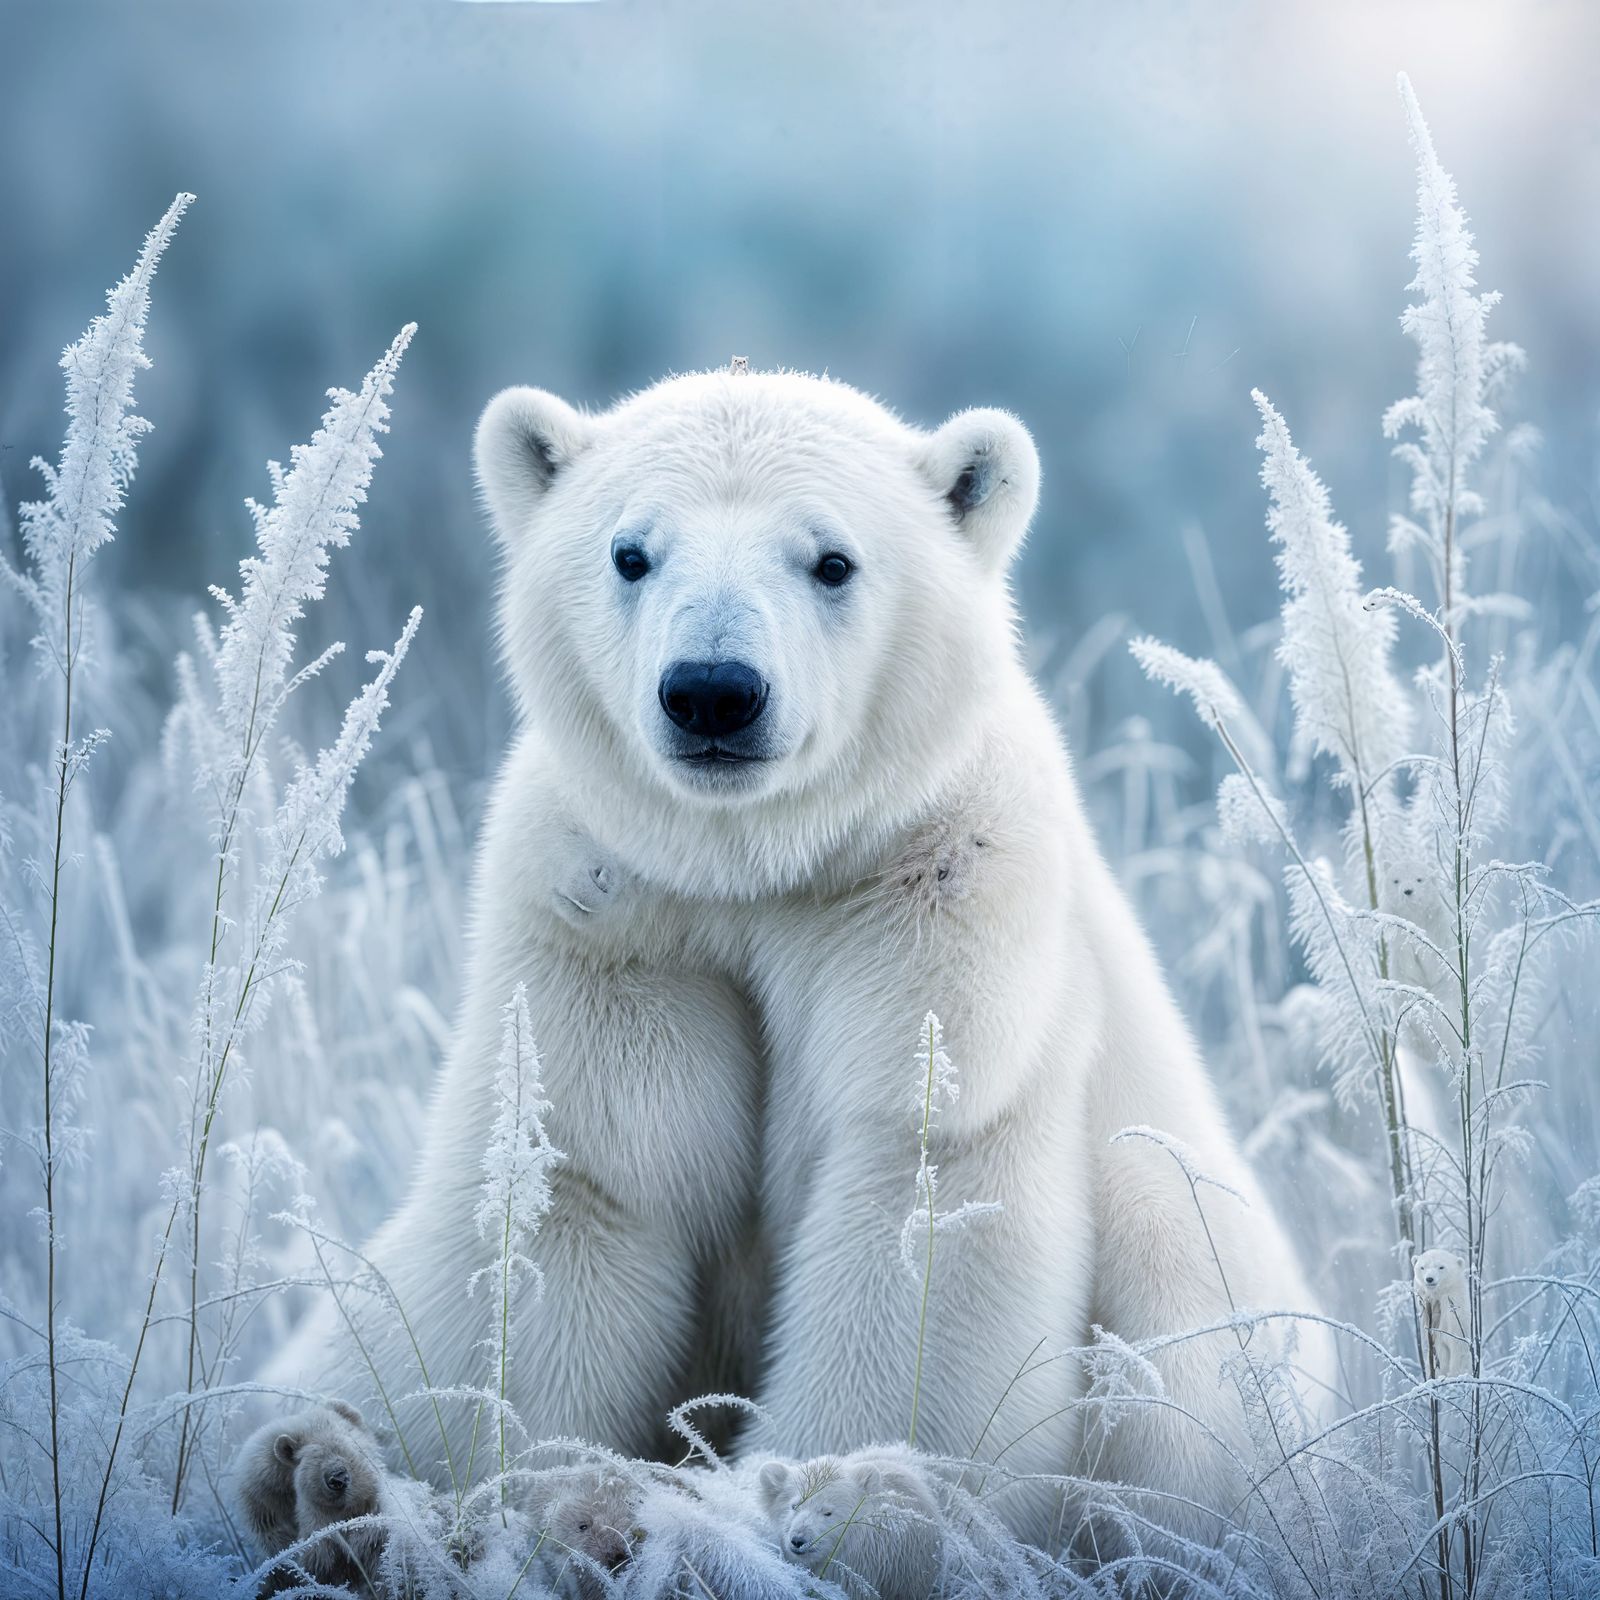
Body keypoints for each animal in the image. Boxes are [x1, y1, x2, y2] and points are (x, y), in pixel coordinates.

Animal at [268, 366, 1329, 1552]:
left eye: (831, 559)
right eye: (630, 552)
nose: (713, 690)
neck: (761, 864)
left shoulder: (939, 897)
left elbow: (914, 1196)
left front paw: (805, 1508)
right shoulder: (608, 907)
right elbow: (584, 1184)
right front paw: (557, 1505)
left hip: (1202, 1321)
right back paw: (313, 1471)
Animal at [1413, 1248, 1470, 1379]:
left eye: (1441, 1267)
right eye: (1422, 1267)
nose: (1429, 1279)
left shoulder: (1455, 1319)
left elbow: (1459, 1348)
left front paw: (1457, 1374)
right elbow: (1438, 1355)